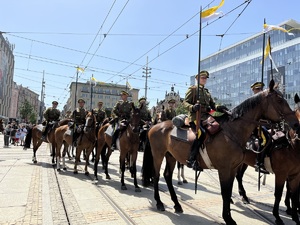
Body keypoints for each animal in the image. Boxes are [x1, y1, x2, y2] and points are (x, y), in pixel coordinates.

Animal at [142, 81, 298, 225]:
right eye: (279, 100)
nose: (296, 123)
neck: (232, 131)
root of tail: (155, 126)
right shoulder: (224, 169)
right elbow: (224, 192)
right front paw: (228, 218)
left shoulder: (233, 168)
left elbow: (228, 191)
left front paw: (229, 216)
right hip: (158, 154)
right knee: (156, 175)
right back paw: (159, 203)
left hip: (171, 156)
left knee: (167, 176)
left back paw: (177, 204)